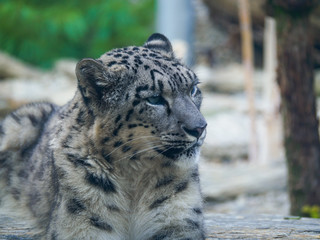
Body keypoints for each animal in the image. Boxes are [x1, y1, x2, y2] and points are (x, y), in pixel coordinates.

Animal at [0, 32, 208, 239]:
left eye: (193, 89)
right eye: (154, 99)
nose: (200, 127)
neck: (135, 182)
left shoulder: (180, 220)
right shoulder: (82, 226)